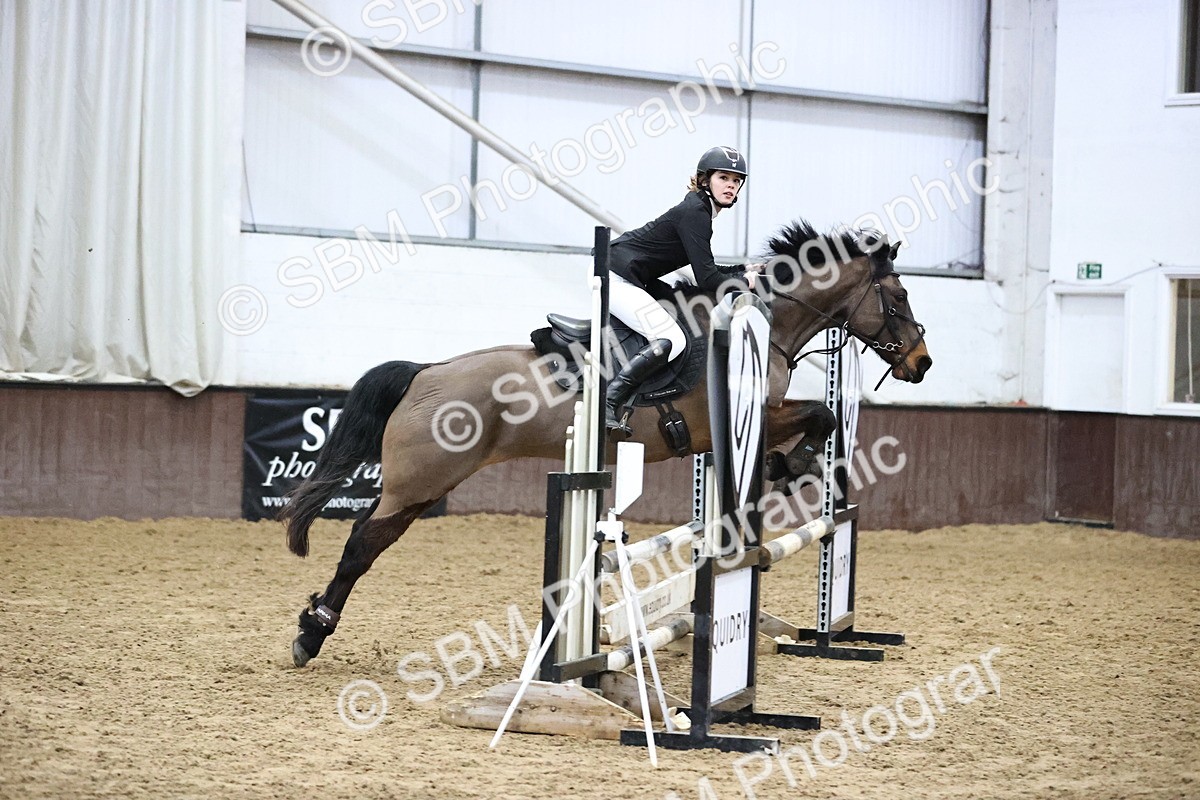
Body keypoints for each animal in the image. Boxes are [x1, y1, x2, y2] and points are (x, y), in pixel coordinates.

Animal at [281, 220, 932, 667]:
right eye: (898, 299)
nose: (922, 363)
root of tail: (425, 373)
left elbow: (820, 417)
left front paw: (786, 466)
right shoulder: (743, 417)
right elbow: (821, 415)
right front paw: (787, 464)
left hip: (416, 486)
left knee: (367, 535)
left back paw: (314, 625)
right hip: (423, 480)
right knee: (363, 544)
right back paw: (311, 633)